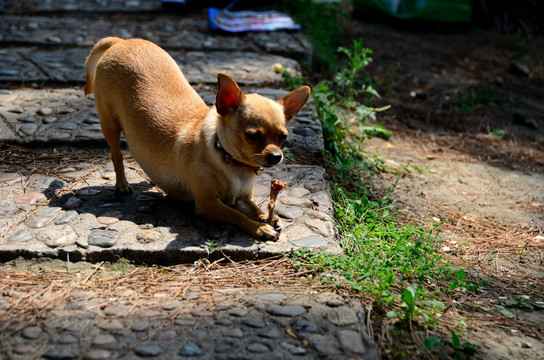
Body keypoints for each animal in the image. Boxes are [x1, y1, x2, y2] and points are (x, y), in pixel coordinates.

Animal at [83, 37, 308, 239]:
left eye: (283, 137)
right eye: (252, 136)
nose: (276, 156)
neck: (230, 161)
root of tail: (121, 41)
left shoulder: (243, 198)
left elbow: (255, 208)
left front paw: (269, 217)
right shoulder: (208, 204)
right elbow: (236, 215)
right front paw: (260, 228)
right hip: (109, 123)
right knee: (116, 156)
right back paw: (121, 184)